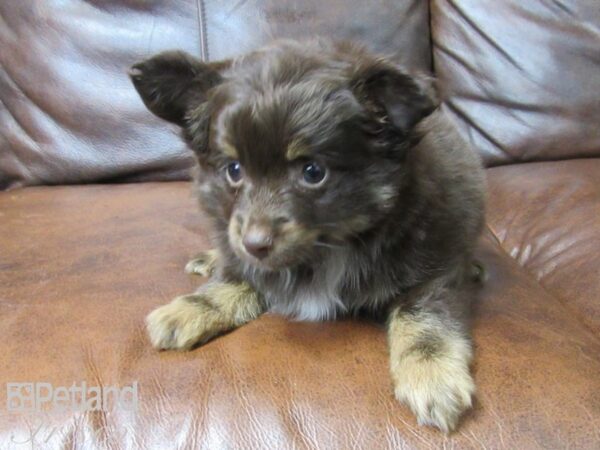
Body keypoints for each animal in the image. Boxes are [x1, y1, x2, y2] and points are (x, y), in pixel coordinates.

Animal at [131, 38, 488, 432]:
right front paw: (191, 308)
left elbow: (421, 314)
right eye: (234, 170)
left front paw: (431, 374)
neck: (327, 248)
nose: (255, 244)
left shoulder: (432, 268)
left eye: (313, 172)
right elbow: (236, 277)